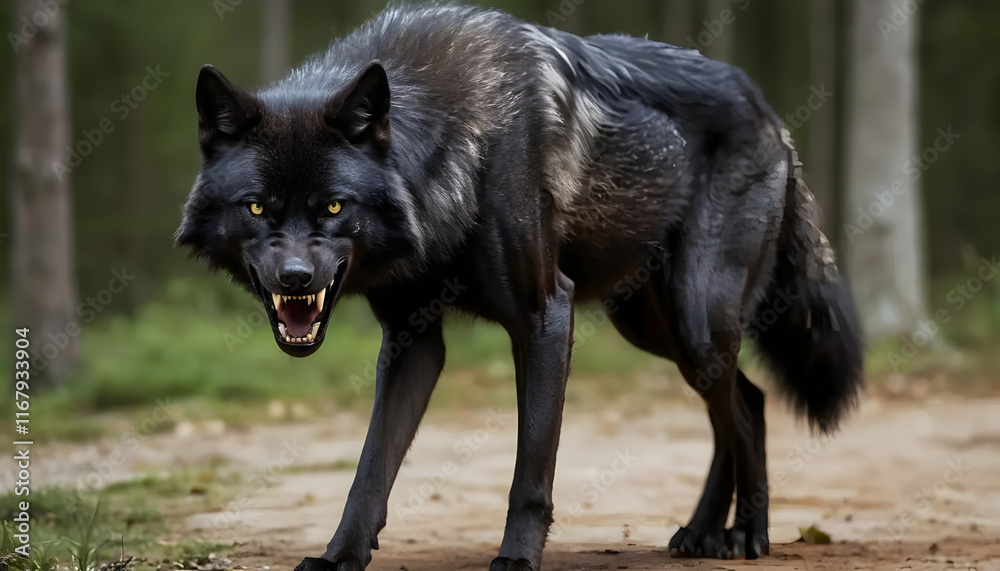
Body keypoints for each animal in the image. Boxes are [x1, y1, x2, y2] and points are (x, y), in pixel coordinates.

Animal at [176, 4, 863, 569]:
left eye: (335, 208)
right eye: (257, 209)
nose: (296, 278)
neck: (454, 156)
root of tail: (770, 112)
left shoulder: (543, 317)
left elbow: (531, 469)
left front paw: (515, 559)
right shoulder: (412, 341)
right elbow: (370, 470)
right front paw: (339, 557)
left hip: (697, 323)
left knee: (743, 410)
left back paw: (748, 533)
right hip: (655, 331)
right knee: (747, 401)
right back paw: (703, 533)